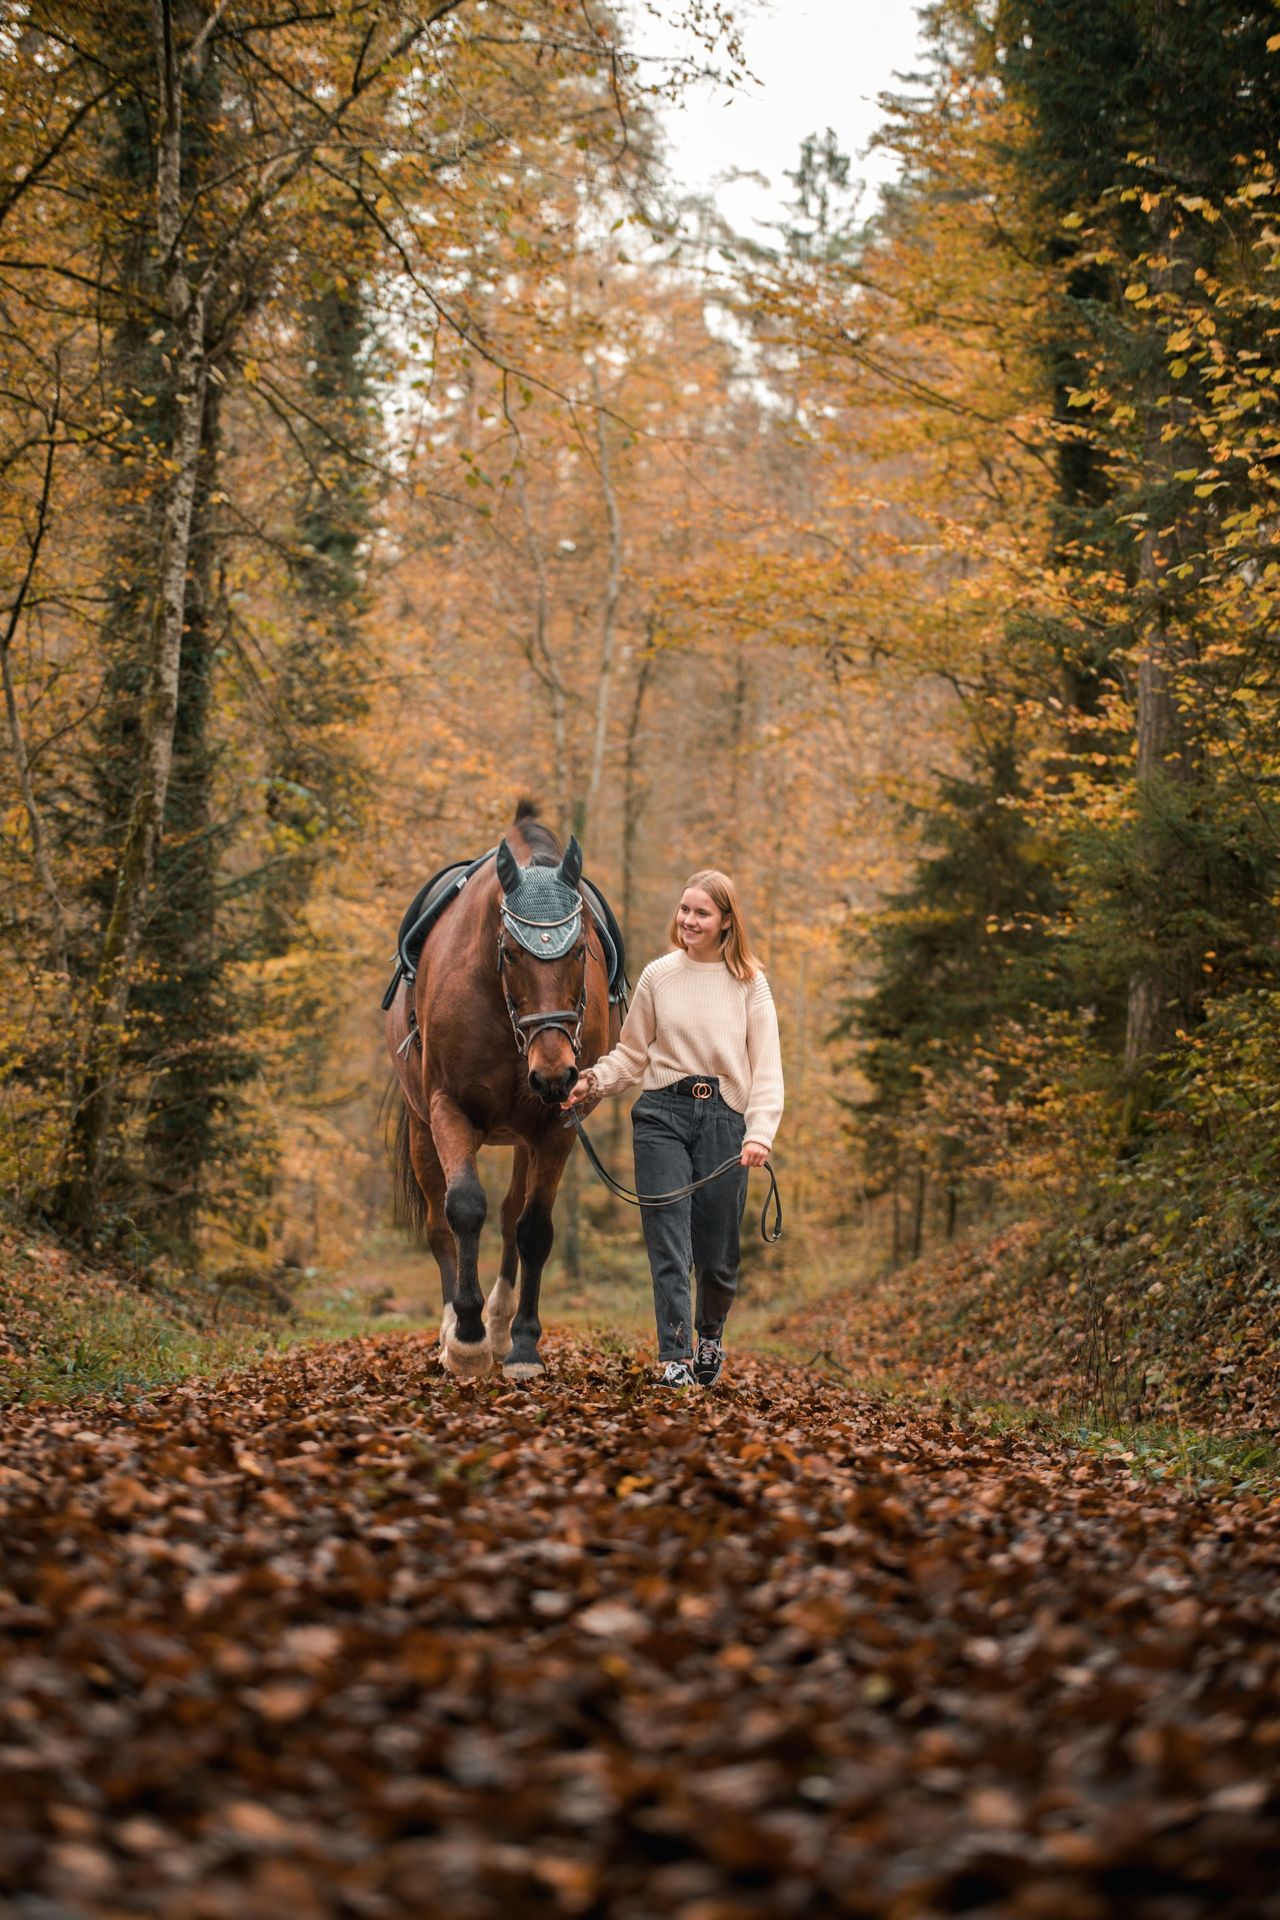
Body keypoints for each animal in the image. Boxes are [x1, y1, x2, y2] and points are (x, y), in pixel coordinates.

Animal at [385, 802, 614, 1374]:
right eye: (509, 952)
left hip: (525, 1135)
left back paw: (501, 1320)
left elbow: (533, 1228)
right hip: (421, 1124)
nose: (554, 1073)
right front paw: (466, 1338)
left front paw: (524, 1343)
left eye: (580, 950)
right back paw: (455, 1327)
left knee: (512, 1215)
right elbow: (464, 1207)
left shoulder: (556, 1126)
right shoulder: (449, 1108)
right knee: (439, 1218)